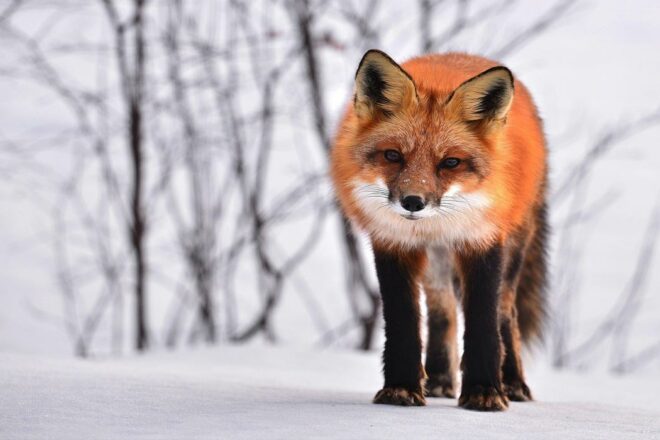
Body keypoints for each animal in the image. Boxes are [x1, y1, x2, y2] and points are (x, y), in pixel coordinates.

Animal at [330, 50, 548, 411]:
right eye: (393, 155)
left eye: (450, 163)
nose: (413, 202)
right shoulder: (393, 243)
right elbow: (404, 322)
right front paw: (401, 388)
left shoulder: (482, 241)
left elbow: (483, 323)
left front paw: (484, 391)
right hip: (436, 264)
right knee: (442, 311)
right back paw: (440, 380)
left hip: (512, 250)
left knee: (506, 314)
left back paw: (513, 383)